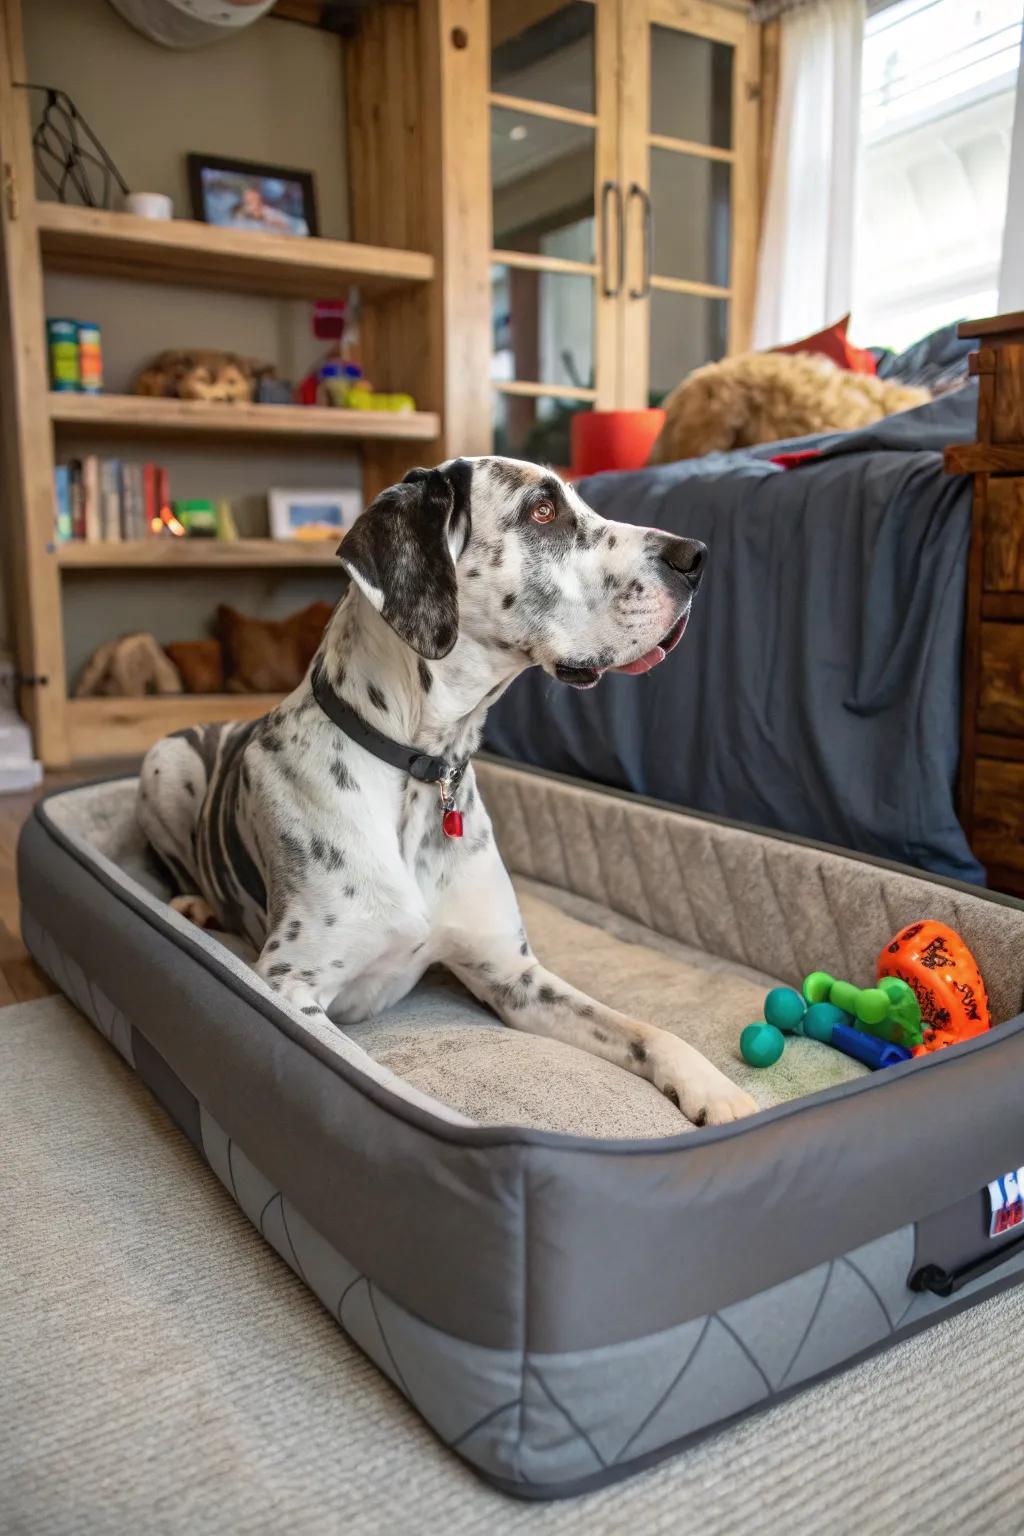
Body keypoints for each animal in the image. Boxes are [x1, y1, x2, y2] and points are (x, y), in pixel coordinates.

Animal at [135, 454, 758, 1130]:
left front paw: (712, 1087)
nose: (695, 556)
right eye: (543, 511)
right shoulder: (287, 985)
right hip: (164, 763)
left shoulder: (514, 976)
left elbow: (642, 1029)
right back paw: (193, 905)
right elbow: (361, 1073)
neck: (422, 767)